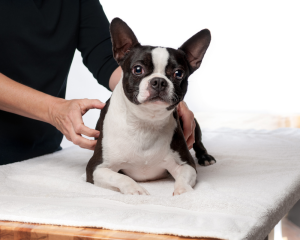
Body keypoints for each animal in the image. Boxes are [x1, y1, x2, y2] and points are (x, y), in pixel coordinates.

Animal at [86, 18, 216, 195]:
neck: (146, 122)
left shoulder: (186, 165)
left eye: (178, 73)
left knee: (199, 142)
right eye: (137, 69)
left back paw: (205, 157)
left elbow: (183, 178)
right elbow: (121, 178)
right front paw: (135, 190)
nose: (159, 81)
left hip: (193, 123)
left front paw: (183, 191)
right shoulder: (96, 168)